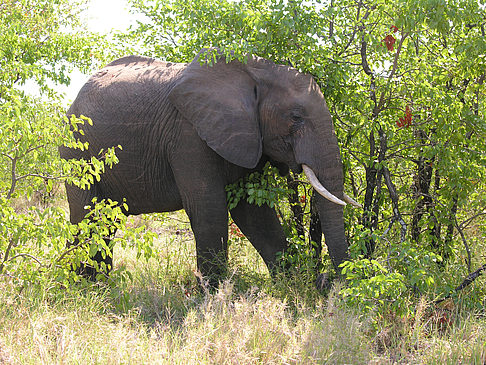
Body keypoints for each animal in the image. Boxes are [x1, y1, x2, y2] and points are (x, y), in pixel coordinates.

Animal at [59, 49, 356, 288]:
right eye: (295, 117)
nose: (330, 284)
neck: (256, 72)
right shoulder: (188, 135)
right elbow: (208, 208)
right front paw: (213, 297)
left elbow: (255, 213)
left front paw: (289, 287)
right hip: (76, 153)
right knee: (87, 217)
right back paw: (83, 287)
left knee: (105, 221)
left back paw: (97, 286)